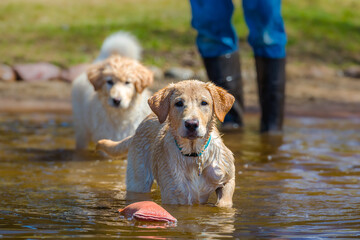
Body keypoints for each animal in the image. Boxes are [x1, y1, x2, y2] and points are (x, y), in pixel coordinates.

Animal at [97, 79, 235, 207]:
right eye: (179, 103)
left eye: (204, 103)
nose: (191, 124)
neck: (193, 154)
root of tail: (139, 127)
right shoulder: (173, 196)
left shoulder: (227, 176)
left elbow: (225, 201)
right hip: (138, 181)